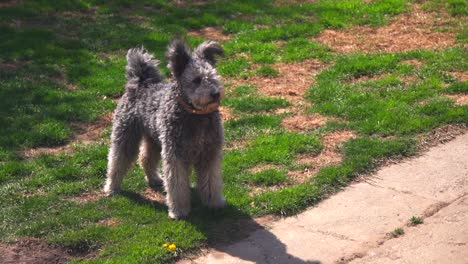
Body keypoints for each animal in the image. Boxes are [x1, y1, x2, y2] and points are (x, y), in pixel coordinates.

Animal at [103, 39, 227, 220]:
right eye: (197, 80)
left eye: (213, 76)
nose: (215, 94)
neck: (196, 115)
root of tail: (141, 81)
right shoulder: (175, 156)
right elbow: (177, 185)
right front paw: (179, 210)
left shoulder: (210, 153)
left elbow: (212, 180)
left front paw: (214, 202)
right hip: (126, 136)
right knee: (116, 161)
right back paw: (111, 187)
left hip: (154, 139)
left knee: (145, 158)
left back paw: (154, 179)